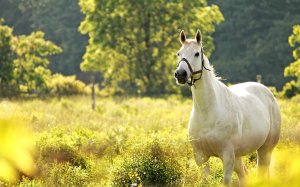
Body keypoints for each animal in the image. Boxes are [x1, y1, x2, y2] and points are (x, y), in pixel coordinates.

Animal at [173, 30, 282, 186]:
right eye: (179, 53)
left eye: (196, 54)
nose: (180, 74)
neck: (208, 111)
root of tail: (267, 92)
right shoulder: (201, 157)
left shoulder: (227, 156)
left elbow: (226, 182)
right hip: (239, 156)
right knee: (244, 176)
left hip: (264, 150)